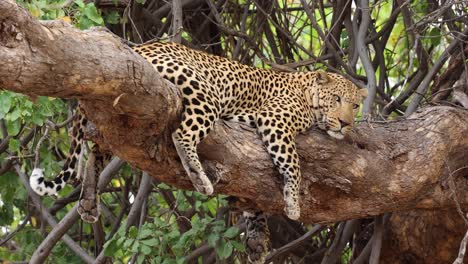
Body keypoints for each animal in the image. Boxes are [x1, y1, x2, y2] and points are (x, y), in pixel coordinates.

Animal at [29, 40, 368, 262]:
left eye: (355, 105)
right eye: (337, 99)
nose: (345, 123)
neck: (307, 93)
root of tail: (138, 50)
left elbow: (250, 193)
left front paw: (258, 239)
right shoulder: (274, 120)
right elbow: (293, 163)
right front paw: (294, 202)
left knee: (97, 151)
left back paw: (88, 200)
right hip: (203, 93)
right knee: (181, 134)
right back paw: (199, 176)